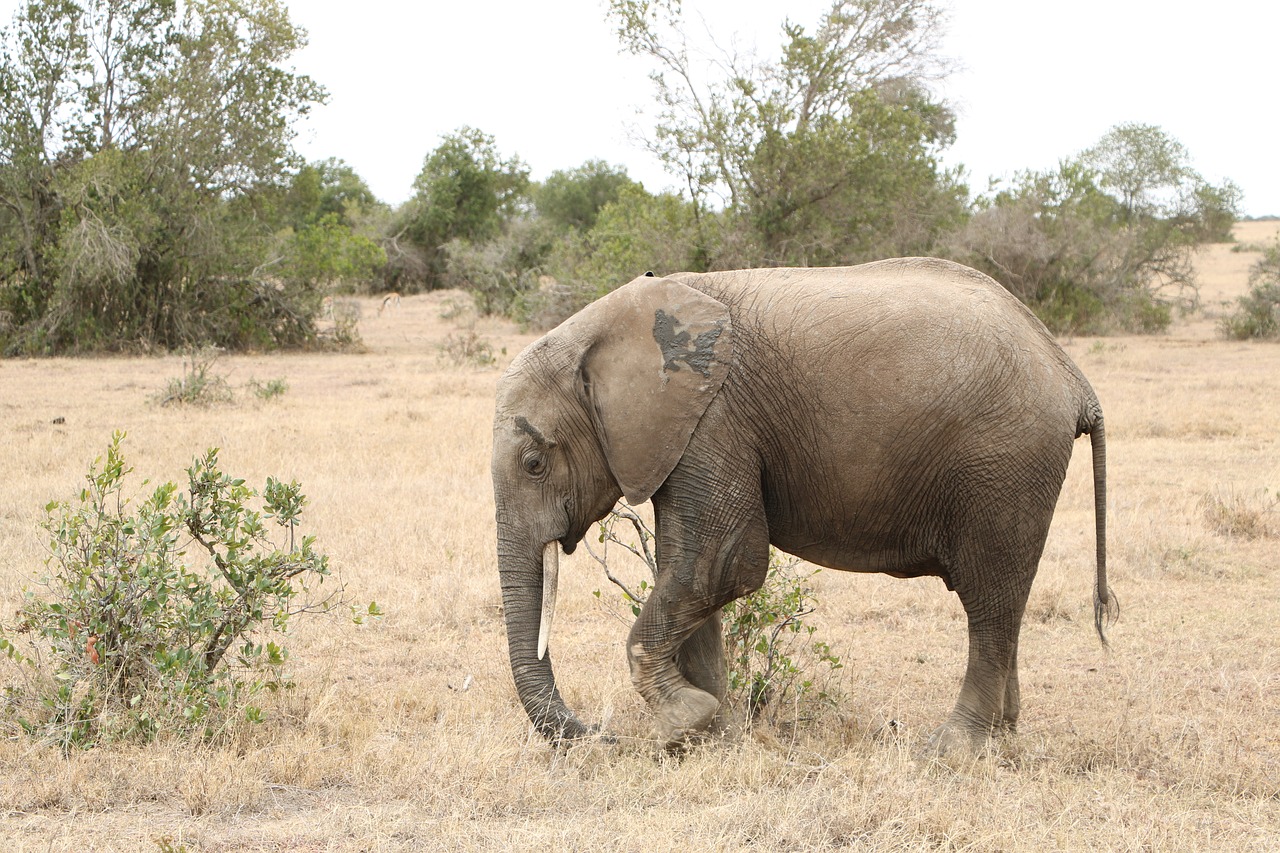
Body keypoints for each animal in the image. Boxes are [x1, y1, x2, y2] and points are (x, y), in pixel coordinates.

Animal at [488, 257, 1111, 753]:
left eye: (534, 463)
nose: (603, 737)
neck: (605, 329)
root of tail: (1073, 377)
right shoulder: (687, 434)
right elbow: (693, 575)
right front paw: (712, 739)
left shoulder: (714, 420)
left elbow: (721, 564)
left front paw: (683, 724)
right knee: (1003, 601)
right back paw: (1003, 736)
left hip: (1005, 461)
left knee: (989, 601)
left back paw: (951, 749)